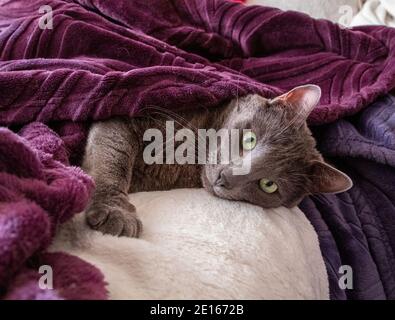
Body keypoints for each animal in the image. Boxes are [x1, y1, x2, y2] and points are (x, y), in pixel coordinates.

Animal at [83, 85, 352, 238]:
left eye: (269, 185)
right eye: (250, 140)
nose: (226, 177)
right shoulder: (124, 116)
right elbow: (113, 159)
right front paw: (115, 213)